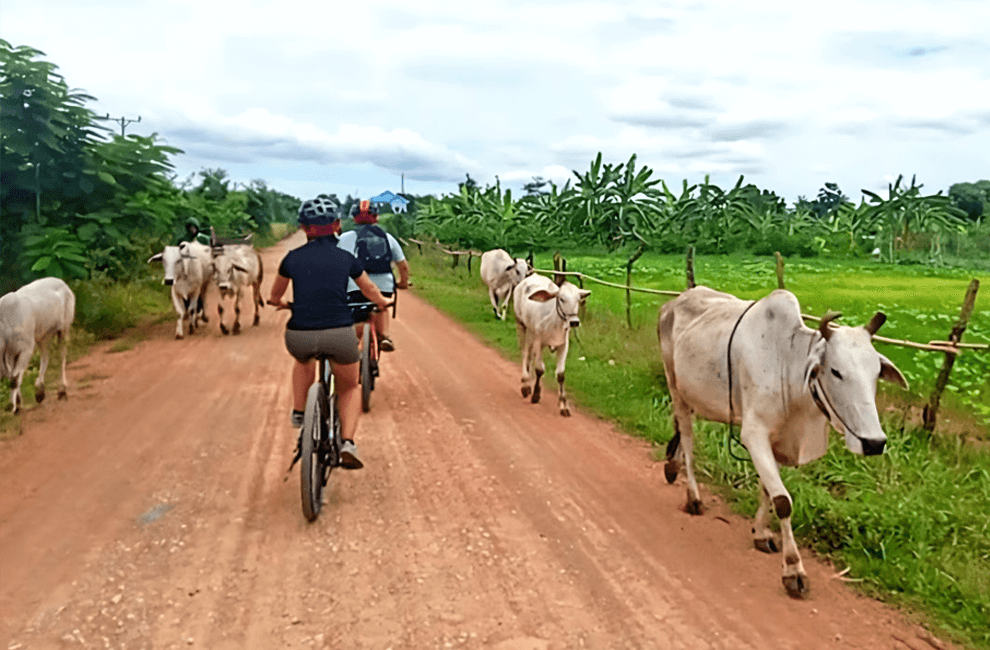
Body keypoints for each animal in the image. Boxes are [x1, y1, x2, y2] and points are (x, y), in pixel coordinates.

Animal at [0, 278, 76, 410]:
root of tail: (63, 283)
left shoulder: (26, 349)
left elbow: (14, 379)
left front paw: (13, 406)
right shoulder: (10, 355)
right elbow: (12, 377)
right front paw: (17, 402)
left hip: (64, 329)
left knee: (62, 356)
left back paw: (62, 390)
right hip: (42, 337)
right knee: (45, 357)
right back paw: (40, 391)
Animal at [512, 272, 588, 416]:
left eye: (578, 299)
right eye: (561, 299)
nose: (574, 322)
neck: (554, 322)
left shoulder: (563, 345)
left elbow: (560, 374)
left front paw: (563, 405)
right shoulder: (539, 342)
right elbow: (540, 369)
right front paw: (536, 395)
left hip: (531, 332)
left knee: (529, 356)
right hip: (521, 325)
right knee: (525, 353)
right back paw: (525, 384)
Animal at [660, 286, 908, 596]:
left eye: (876, 373)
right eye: (836, 371)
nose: (874, 443)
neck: (788, 362)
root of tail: (674, 302)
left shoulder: (778, 440)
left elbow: (767, 491)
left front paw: (761, 534)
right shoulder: (754, 435)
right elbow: (782, 501)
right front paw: (793, 569)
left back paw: (672, 465)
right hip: (675, 388)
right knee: (689, 442)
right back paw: (693, 497)